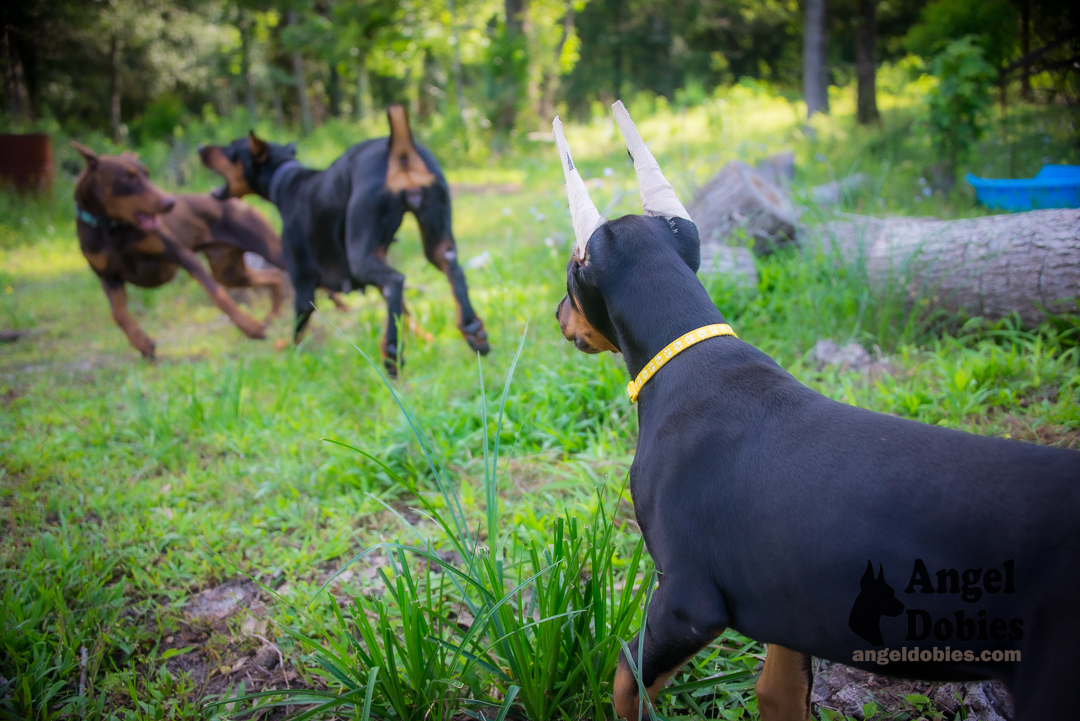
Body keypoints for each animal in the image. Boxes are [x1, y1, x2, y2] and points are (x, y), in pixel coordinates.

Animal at [71, 141, 291, 358]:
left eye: (147, 173)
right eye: (127, 178)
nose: (170, 202)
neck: (110, 229)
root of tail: (238, 202)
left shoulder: (181, 255)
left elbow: (218, 295)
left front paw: (249, 326)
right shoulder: (108, 277)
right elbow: (117, 313)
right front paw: (142, 343)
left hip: (269, 250)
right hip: (229, 272)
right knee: (273, 277)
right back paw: (273, 314)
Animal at [198, 107, 490, 377]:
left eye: (230, 149)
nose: (200, 147)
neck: (287, 181)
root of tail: (397, 146)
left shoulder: (303, 286)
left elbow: (297, 333)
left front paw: (290, 357)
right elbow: (406, 314)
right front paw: (427, 339)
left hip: (360, 254)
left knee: (394, 281)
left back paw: (391, 352)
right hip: (436, 238)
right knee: (451, 267)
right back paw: (472, 329)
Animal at [552, 101, 1075, 721]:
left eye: (570, 276)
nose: (557, 313)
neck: (692, 358)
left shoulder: (686, 602)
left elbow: (625, 680)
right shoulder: (788, 596)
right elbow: (778, 692)